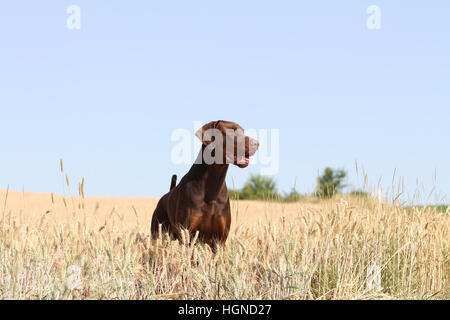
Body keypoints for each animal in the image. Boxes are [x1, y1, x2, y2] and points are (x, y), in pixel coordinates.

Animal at [150, 120, 258, 250]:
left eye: (243, 131)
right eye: (231, 132)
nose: (257, 143)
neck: (212, 186)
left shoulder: (220, 240)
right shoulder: (188, 235)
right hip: (158, 233)